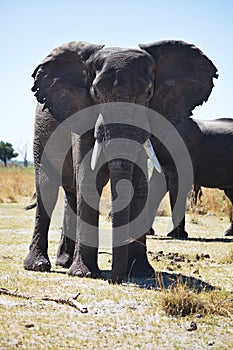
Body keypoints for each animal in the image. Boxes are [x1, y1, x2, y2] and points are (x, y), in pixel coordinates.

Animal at [23, 39, 217, 284]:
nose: (115, 279)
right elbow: (89, 181)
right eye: (95, 93)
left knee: (71, 193)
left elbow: (140, 187)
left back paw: (64, 262)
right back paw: (38, 266)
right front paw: (84, 274)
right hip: (41, 132)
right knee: (47, 188)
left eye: (149, 92)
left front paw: (142, 272)